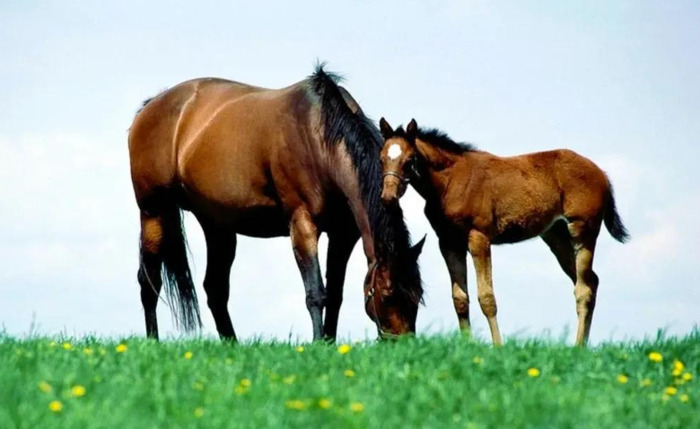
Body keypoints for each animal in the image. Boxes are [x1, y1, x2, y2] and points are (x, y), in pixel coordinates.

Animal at [126, 66, 424, 342]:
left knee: (215, 288)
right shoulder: (302, 225)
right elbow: (316, 292)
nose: (404, 344)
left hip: (217, 226)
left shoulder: (343, 235)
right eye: (388, 293)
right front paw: (318, 343)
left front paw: (329, 343)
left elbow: (335, 294)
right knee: (149, 281)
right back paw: (153, 341)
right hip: (154, 211)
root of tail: (149, 107)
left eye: (418, 294)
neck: (319, 138)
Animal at [378, 118, 628, 346]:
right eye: (382, 159)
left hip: (583, 231)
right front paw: (467, 347)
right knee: (591, 281)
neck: (451, 182)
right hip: (556, 236)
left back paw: (577, 347)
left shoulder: (478, 237)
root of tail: (602, 174)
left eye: (409, 160)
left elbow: (487, 297)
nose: (388, 197)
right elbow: (460, 299)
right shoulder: (449, 242)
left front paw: (498, 346)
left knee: (584, 289)